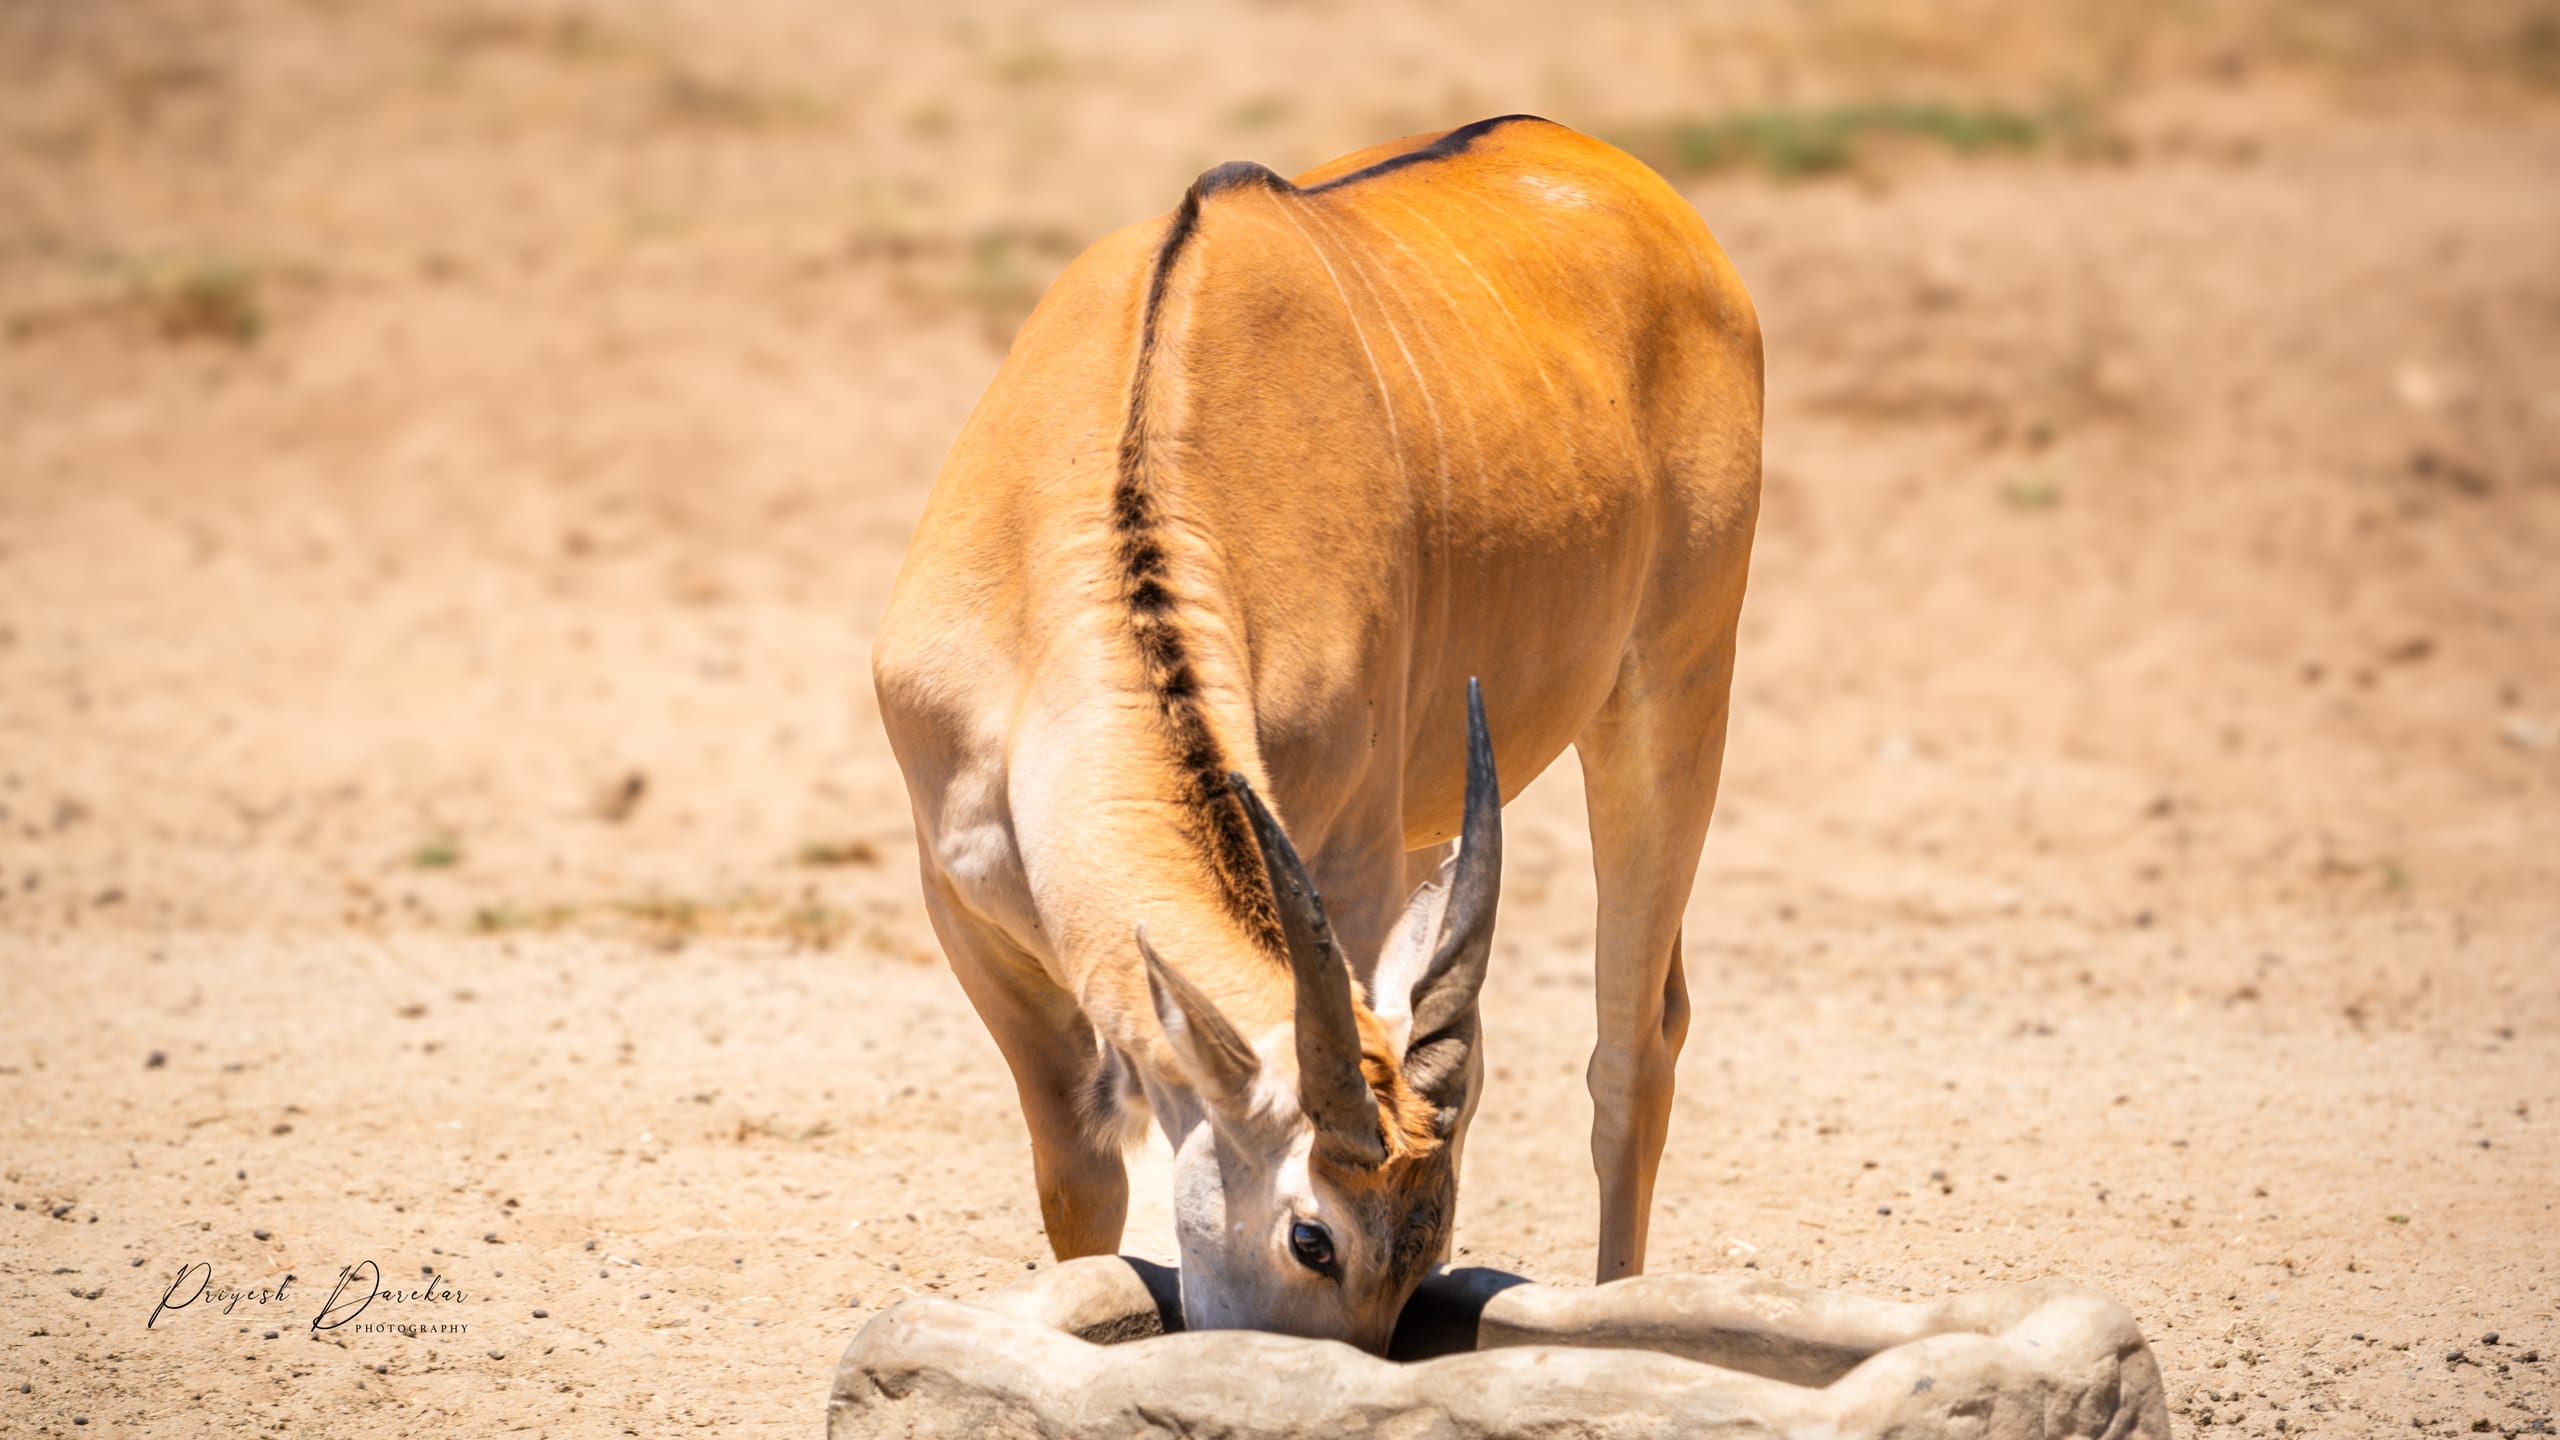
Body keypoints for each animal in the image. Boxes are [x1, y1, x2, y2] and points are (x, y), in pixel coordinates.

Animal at [873, 115, 1761, 1353]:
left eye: (1427, 1247)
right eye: (1312, 1238)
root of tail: (1609, 167)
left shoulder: (1346, 865)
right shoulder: (964, 913)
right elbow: (1079, 1173)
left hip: (1675, 685)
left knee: (1634, 1049)